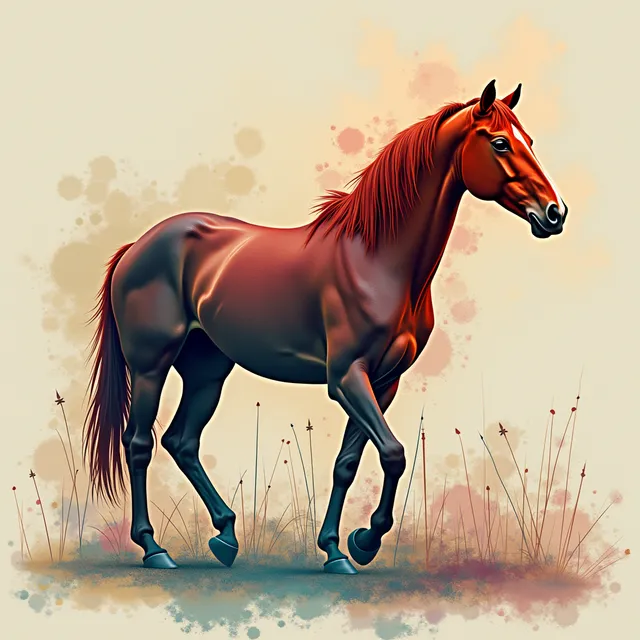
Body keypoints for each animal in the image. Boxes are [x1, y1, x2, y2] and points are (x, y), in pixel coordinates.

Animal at [82, 80, 567, 574]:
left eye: (529, 141)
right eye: (500, 142)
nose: (554, 213)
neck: (377, 260)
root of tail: (136, 246)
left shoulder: (383, 383)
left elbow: (349, 463)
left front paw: (341, 547)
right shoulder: (347, 377)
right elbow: (393, 453)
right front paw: (363, 541)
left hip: (207, 371)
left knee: (182, 441)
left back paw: (226, 536)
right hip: (151, 367)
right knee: (139, 443)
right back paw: (154, 548)